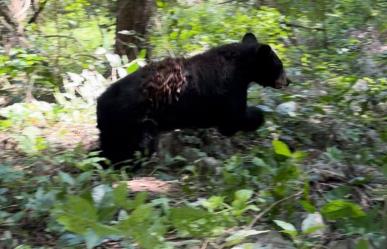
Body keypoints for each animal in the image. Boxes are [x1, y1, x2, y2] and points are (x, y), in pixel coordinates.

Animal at [97, 32, 292, 165]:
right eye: (280, 65)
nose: (288, 81)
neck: (241, 67)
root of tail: (102, 101)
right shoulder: (230, 90)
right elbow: (233, 119)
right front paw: (257, 116)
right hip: (134, 121)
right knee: (132, 146)